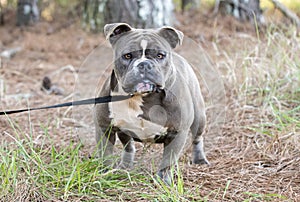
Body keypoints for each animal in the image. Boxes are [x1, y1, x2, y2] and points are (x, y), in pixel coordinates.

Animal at [94, 22, 209, 184]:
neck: (141, 97)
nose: (144, 64)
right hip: (123, 130)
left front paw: (164, 181)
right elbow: (105, 153)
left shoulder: (177, 133)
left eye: (160, 55)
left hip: (199, 117)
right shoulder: (105, 127)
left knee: (197, 138)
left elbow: (168, 160)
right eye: (127, 55)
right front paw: (105, 174)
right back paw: (125, 166)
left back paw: (200, 160)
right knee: (128, 146)